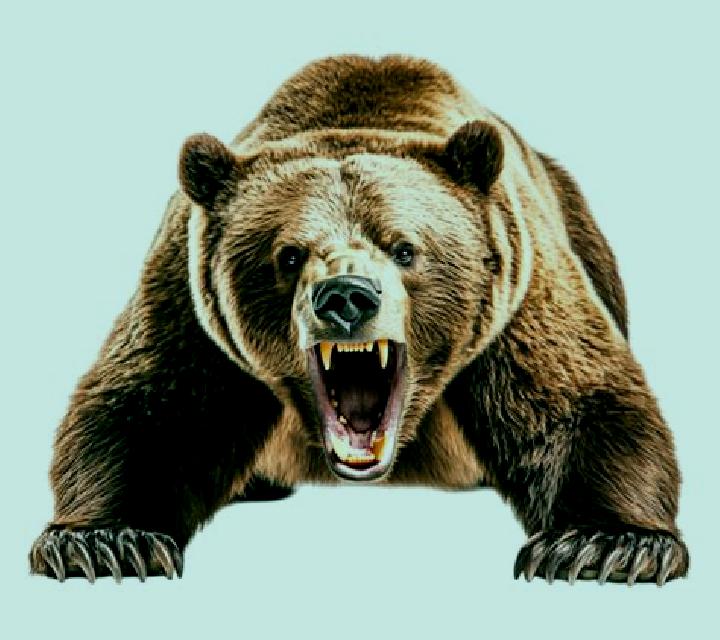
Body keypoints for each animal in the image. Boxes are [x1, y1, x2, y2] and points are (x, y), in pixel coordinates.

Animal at [30, 54, 689, 585]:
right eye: (288, 254)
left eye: (404, 248)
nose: (346, 296)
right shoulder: (191, 303)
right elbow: (150, 406)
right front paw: (106, 542)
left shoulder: (518, 295)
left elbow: (577, 400)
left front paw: (604, 546)